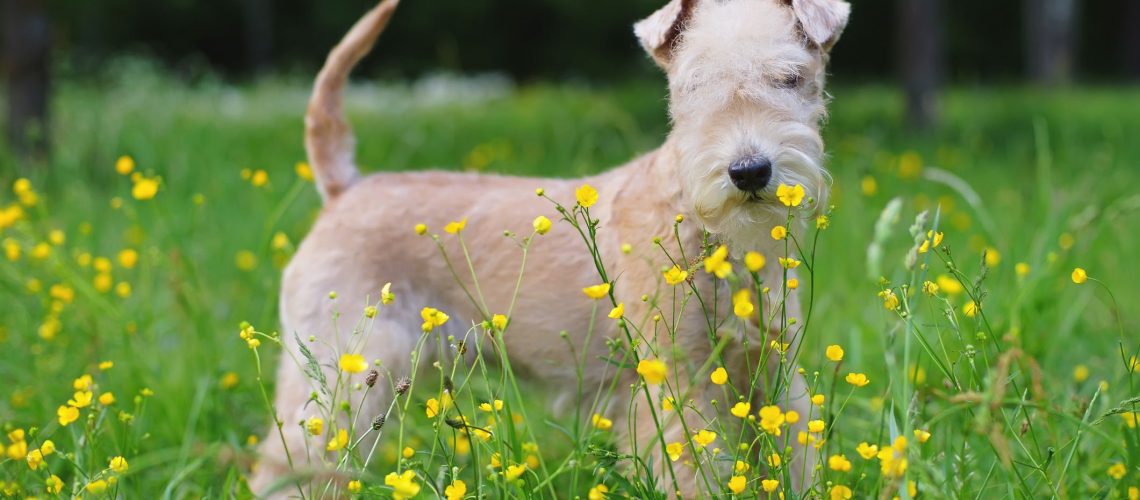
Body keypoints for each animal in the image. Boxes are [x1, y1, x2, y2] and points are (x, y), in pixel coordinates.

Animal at [251, 0, 848, 494]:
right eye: (693, 87)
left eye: (791, 77)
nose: (748, 171)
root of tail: (343, 188)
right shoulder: (677, 382)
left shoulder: (775, 372)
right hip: (342, 371)